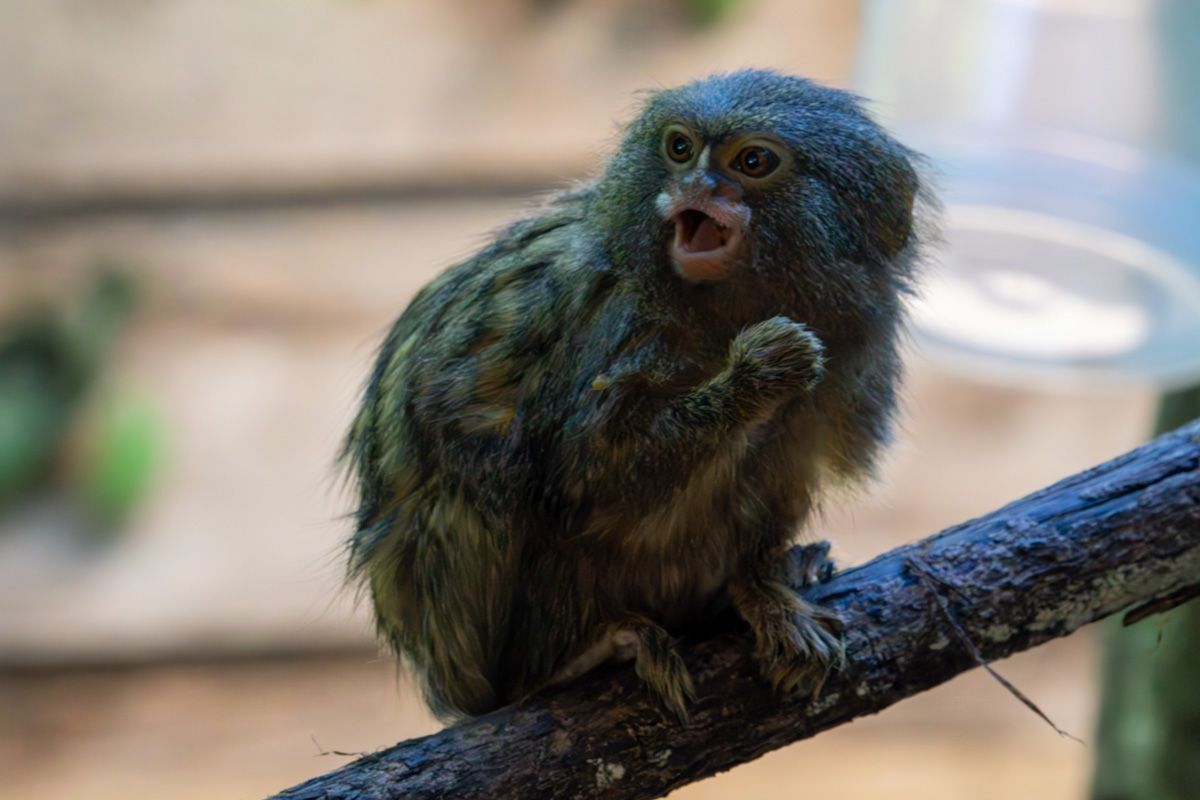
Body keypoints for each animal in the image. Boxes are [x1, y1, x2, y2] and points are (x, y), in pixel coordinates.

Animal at [341, 69, 932, 722]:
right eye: (679, 148)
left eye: (752, 161)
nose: (694, 184)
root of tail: (442, 679)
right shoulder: (614, 324)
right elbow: (581, 478)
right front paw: (754, 378)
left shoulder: (854, 350)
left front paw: (763, 593)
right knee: (476, 472)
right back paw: (563, 663)